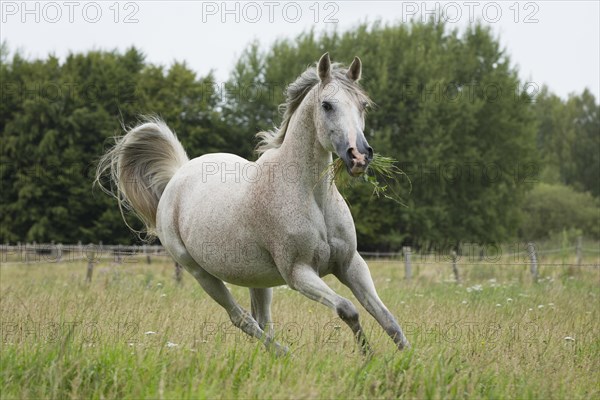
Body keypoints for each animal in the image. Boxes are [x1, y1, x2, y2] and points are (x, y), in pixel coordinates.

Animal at [97, 52, 408, 354]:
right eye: (327, 105)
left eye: (363, 105)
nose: (359, 156)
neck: (312, 197)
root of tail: (178, 174)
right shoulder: (298, 273)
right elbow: (348, 309)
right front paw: (368, 355)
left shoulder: (350, 264)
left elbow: (386, 317)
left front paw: (407, 357)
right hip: (200, 273)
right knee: (242, 319)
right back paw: (284, 353)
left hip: (257, 278)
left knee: (262, 320)